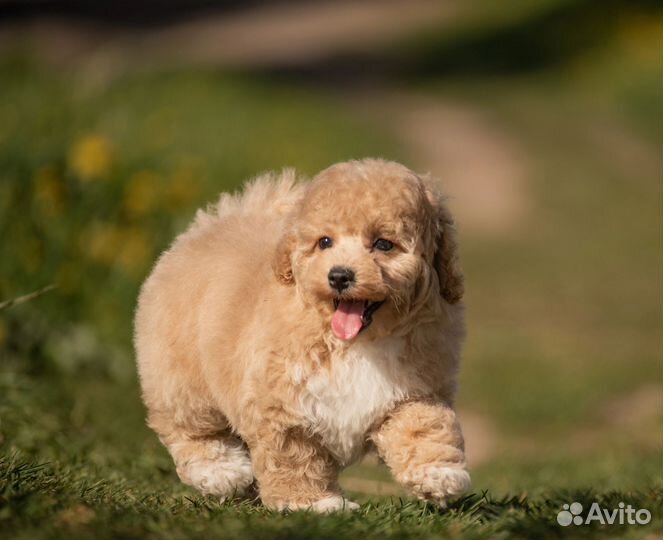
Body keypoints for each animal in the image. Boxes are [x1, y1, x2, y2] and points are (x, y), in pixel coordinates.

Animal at [134, 157, 466, 510]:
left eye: (383, 244)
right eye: (325, 242)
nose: (339, 276)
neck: (356, 342)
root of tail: (211, 224)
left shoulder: (415, 388)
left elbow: (423, 425)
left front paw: (438, 473)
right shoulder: (283, 403)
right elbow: (294, 455)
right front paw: (312, 503)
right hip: (180, 374)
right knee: (190, 427)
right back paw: (222, 471)